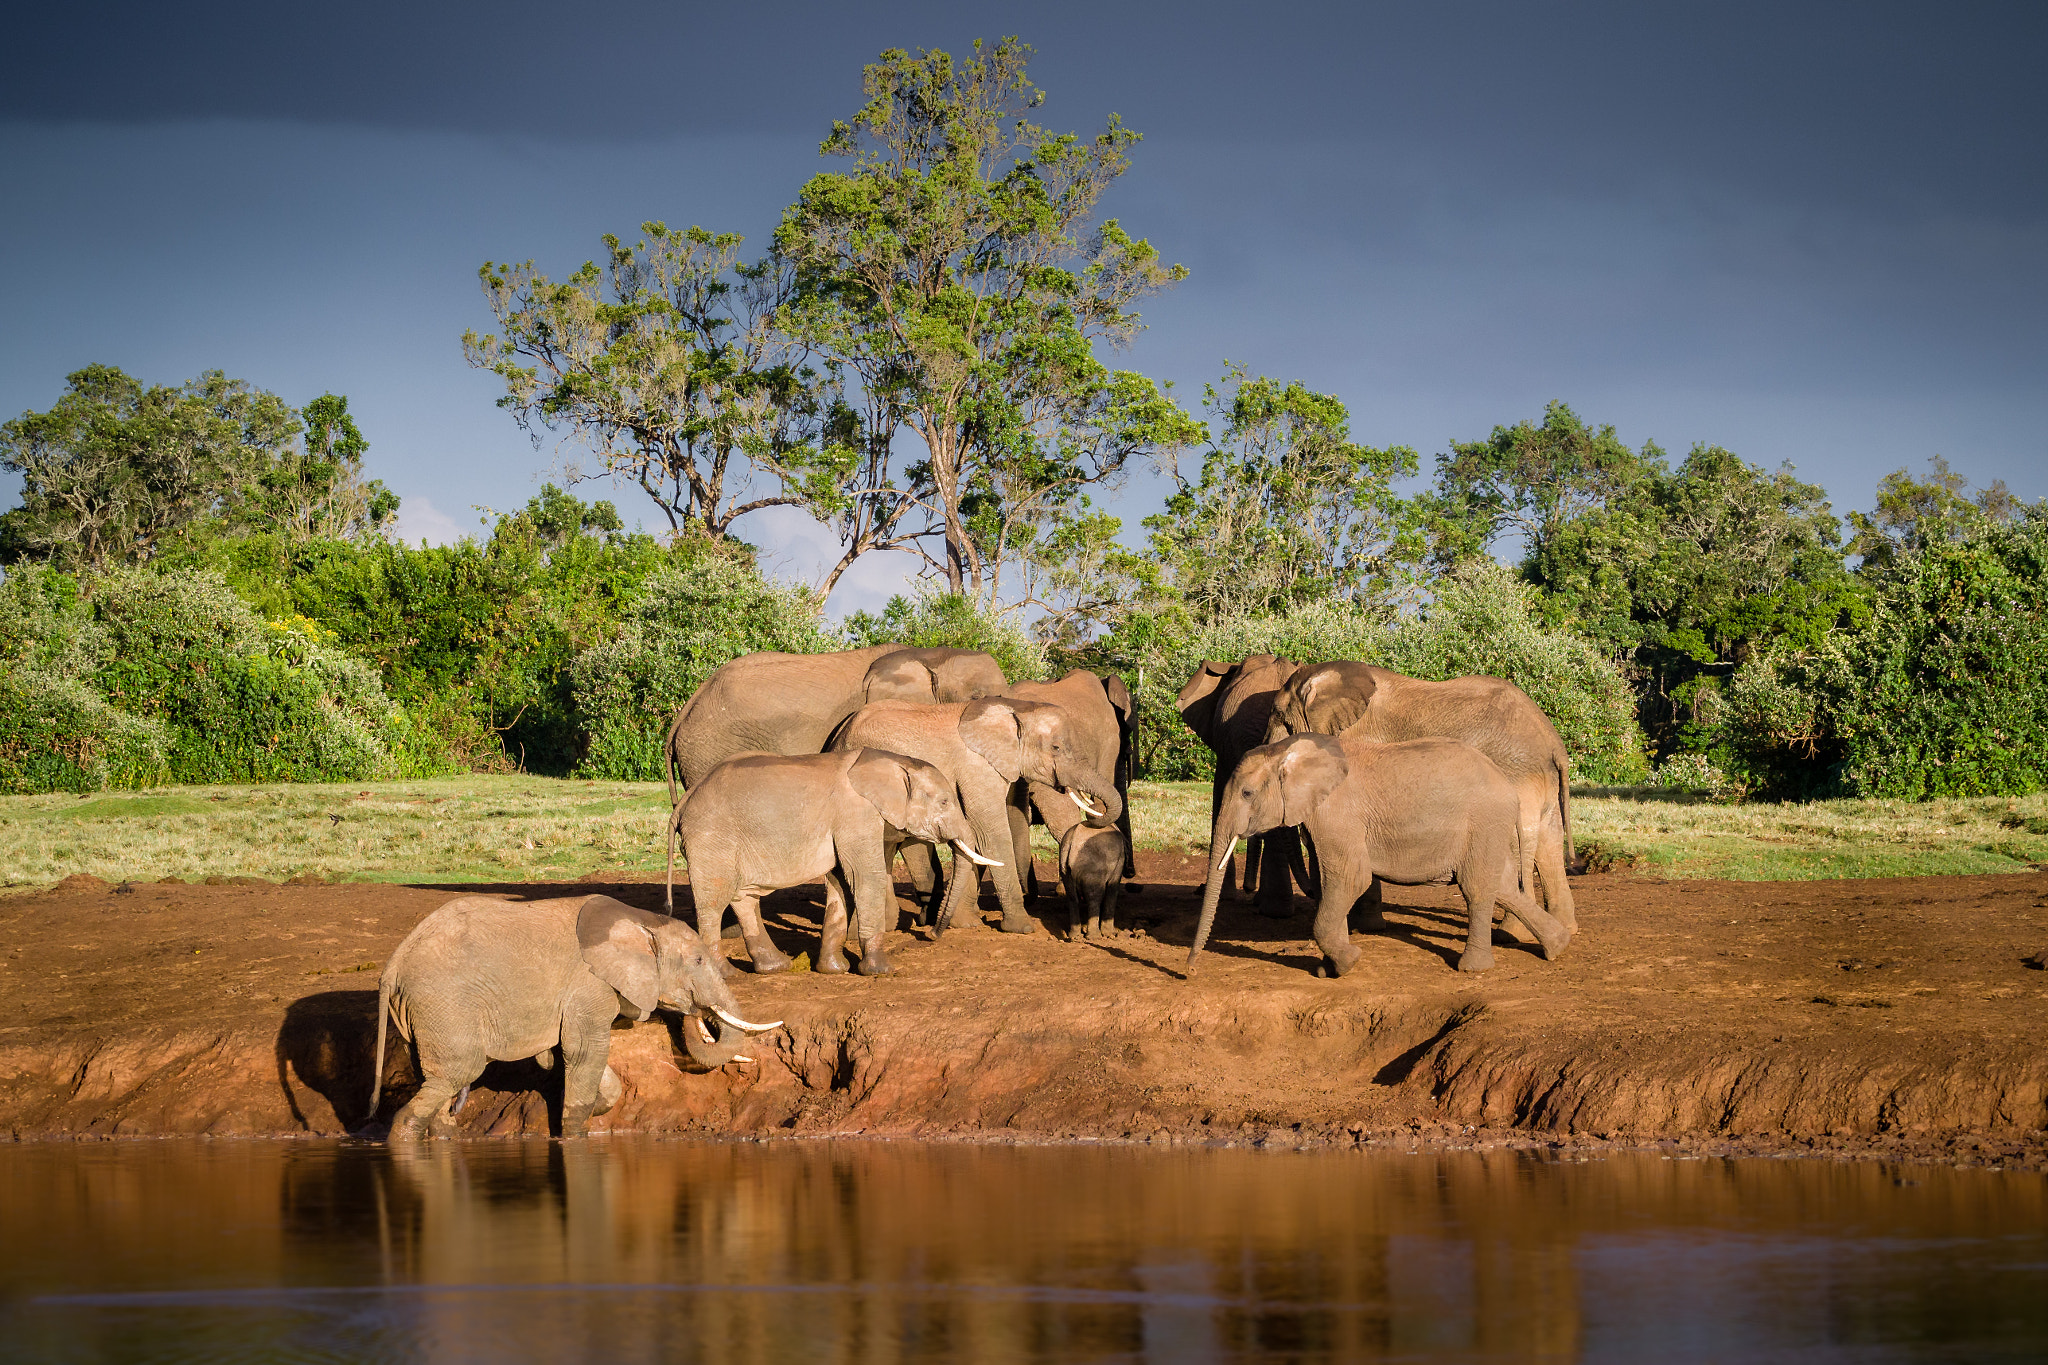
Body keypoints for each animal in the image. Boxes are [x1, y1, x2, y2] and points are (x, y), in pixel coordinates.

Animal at [371, 894, 782, 1139]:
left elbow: (574, 1056)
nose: (695, 1010)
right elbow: (585, 1051)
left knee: (432, 1077)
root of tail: (393, 964)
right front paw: (574, 1134)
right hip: (443, 1004)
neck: (638, 920)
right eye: (697, 960)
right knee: (456, 1073)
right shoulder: (589, 985)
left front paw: (593, 1104)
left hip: (418, 1012)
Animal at [664, 747, 1003, 978]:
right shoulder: (857, 816)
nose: (931, 935)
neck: (893, 762)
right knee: (714, 901)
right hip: (711, 838)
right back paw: (726, 975)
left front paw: (834, 970)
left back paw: (775, 967)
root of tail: (683, 801)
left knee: (743, 897)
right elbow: (866, 878)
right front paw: (882, 970)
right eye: (944, 802)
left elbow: (841, 882)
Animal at [830, 697, 1123, 935]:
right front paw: (1022, 928)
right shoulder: (977, 768)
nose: (1092, 820)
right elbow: (990, 832)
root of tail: (837, 737)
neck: (1016, 708)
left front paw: (965, 923)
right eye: (1056, 748)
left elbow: (976, 836)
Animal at [1189, 734, 1573, 978]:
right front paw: (1326, 970)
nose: (1189, 971)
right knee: (1503, 887)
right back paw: (1557, 947)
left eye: (1247, 793)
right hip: (1489, 828)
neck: (1287, 749)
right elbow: (1331, 884)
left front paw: (1349, 963)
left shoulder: (1337, 813)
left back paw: (1471, 969)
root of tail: (1509, 786)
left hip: (1484, 821)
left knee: (1477, 888)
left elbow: (1351, 878)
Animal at [1265, 661, 1577, 932]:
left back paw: (1511, 934)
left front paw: (1362, 927)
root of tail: (1554, 743)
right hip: (1542, 781)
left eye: (1280, 715)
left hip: (1516, 774)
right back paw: (1565, 929)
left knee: (1519, 838)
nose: (1310, 893)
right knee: (1548, 838)